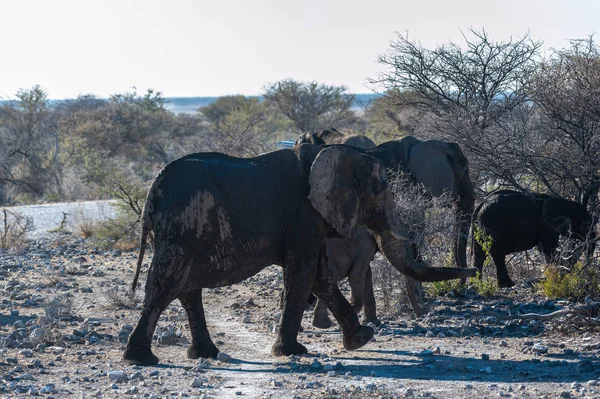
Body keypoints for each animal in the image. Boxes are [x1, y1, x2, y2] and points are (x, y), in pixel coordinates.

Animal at [123, 144, 478, 366]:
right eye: (381, 192)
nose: (473, 273)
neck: (334, 153)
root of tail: (151, 193)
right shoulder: (304, 214)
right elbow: (303, 273)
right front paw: (293, 351)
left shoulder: (310, 218)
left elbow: (318, 275)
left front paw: (361, 340)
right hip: (183, 227)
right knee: (167, 285)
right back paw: (141, 359)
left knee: (185, 289)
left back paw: (204, 355)